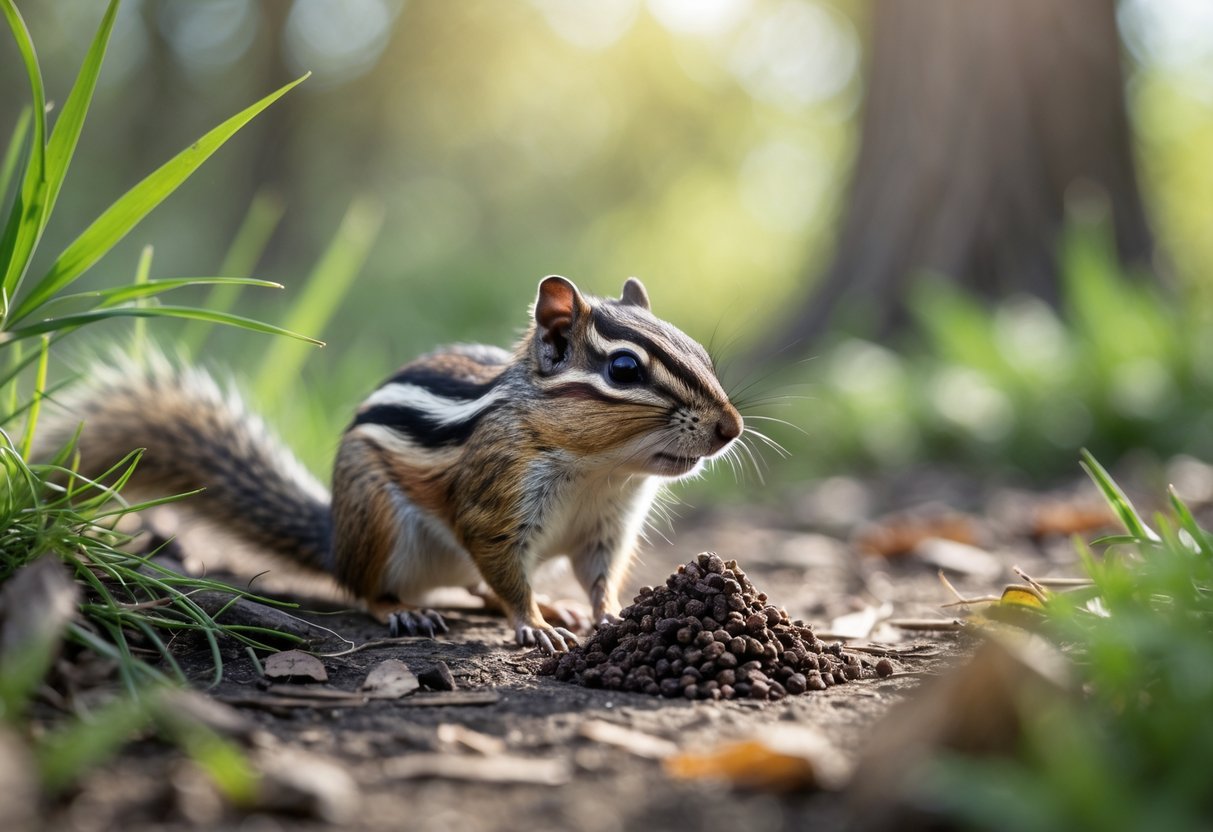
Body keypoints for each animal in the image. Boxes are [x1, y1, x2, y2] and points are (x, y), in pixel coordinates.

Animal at [44, 276, 743, 654]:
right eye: (624, 369)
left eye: (703, 354)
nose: (730, 428)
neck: (599, 470)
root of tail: (335, 540)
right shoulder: (495, 505)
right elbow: (504, 571)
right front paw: (534, 625)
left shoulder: (607, 527)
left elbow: (599, 577)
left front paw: (606, 615)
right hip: (379, 521)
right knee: (368, 589)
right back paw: (403, 610)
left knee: (473, 585)